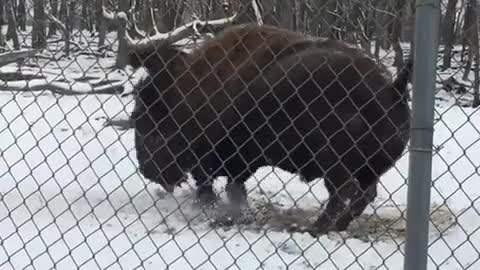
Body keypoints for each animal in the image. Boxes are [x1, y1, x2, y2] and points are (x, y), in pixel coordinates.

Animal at [124, 17, 412, 236]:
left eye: (152, 128)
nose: (147, 170)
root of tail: (391, 89)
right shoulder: (240, 162)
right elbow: (233, 187)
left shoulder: (224, 158)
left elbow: (218, 185)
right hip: (369, 169)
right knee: (364, 194)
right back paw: (337, 227)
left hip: (334, 163)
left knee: (342, 193)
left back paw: (313, 229)